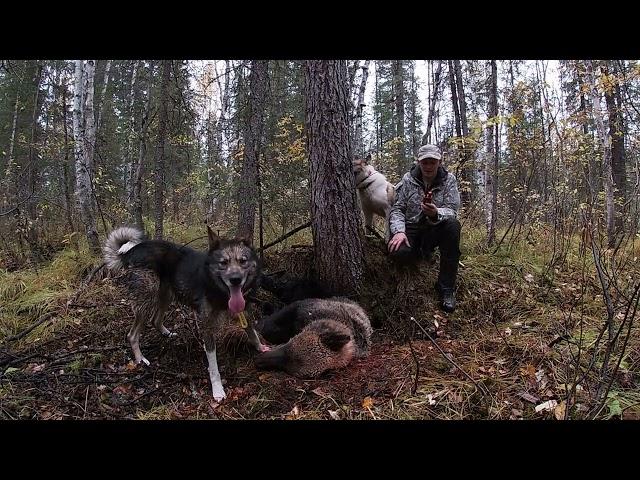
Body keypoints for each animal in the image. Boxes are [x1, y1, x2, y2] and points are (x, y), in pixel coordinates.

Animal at [103, 225, 268, 402]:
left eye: (243, 261)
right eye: (223, 263)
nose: (235, 279)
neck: (218, 289)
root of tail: (130, 252)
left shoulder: (245, 313)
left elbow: (253, 333)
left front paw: (261, 347)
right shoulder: (207, 326)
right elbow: (213, 366)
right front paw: (217, 389)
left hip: (166, 295)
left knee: (155, 320)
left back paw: (166, 333)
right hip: (147, 300)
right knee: (132, 335)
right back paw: (140, 359)